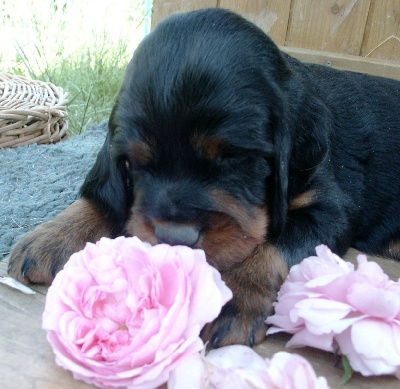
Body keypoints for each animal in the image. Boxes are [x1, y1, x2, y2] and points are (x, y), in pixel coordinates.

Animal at [7, 8, 400, 346]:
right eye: (137, 162)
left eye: (233, 158)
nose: (174, 240)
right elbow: (109, 197)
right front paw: (52, 235)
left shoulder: (329, 208)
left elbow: (274, 247)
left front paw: (234, 295)